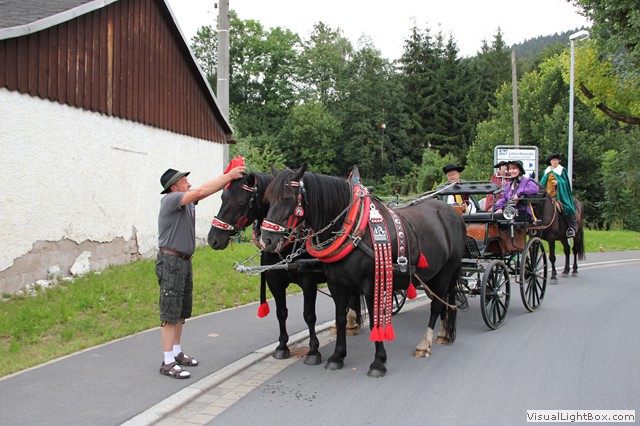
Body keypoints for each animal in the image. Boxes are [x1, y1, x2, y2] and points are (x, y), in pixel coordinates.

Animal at [259, 166, 467, 377]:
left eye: (287, 199)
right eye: (268, 200)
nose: (266, 240)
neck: (355, 229)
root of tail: (454, 213)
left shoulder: (371, 285)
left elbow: (375, 320)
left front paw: (378, 362)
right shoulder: (336, 285)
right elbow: (340, 318)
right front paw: (337, 356)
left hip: (445, 272)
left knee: (436, 305)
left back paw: (425, 344)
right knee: (444, 301)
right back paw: (443, 334)